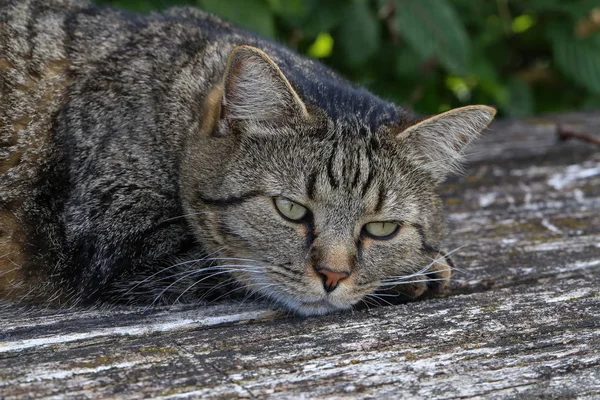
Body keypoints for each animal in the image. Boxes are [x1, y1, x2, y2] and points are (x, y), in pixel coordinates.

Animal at [0, 0, 496, 316]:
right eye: (290, 209)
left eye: (381, 229)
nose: (332, 275)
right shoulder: (120, 242)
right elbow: (224, 267)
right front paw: (419, 273)